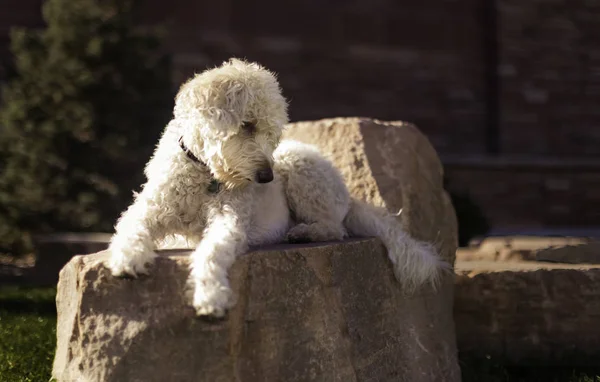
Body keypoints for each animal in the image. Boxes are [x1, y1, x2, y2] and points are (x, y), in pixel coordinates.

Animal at [108, 58, 448, 318]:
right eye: (247, 125)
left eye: (270, 131)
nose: (265, 178)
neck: (205, 173)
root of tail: (349, 195)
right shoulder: (149, 208)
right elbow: (130, 228)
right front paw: (128, 257)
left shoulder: (230, 221)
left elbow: (212, 252)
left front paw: (211, 295)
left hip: (298, 166)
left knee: (336, 228)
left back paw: (303, 233)